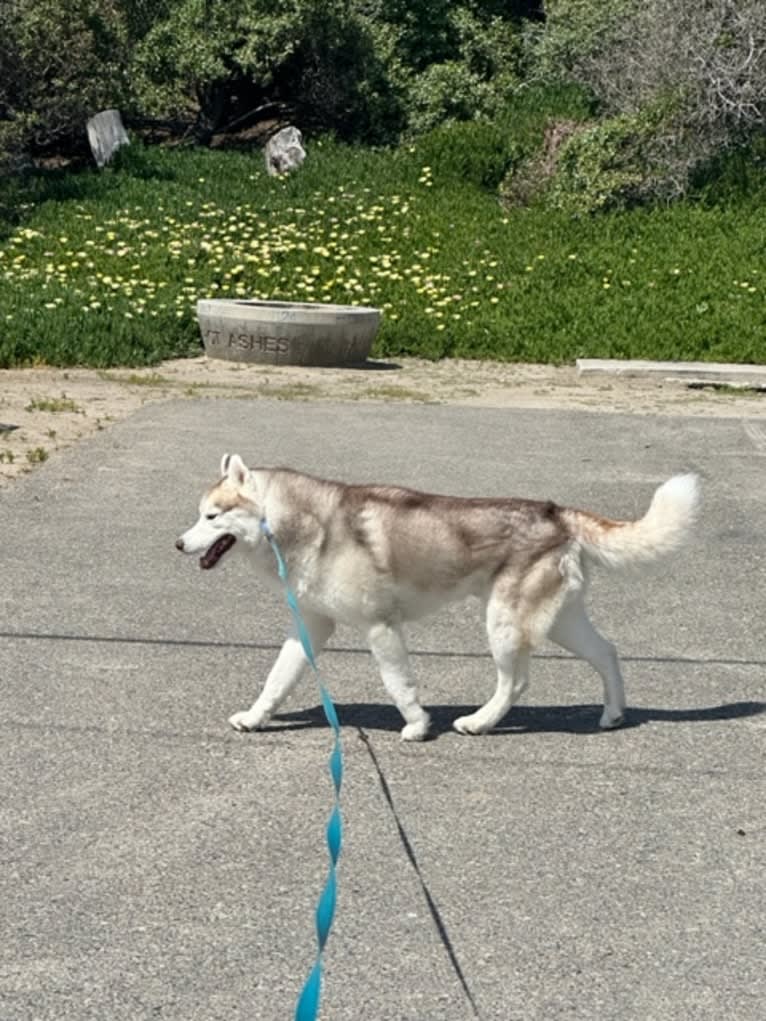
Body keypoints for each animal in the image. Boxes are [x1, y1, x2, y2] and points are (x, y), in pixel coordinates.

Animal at [175, 457, 702, 743]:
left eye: (211, 516)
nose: (179, 544)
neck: (308, 526)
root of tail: (558, 513)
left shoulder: (381, 627)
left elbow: (398, 684)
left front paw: (418, 725)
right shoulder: (311, 626)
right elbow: (276, 680)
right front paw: (255, 718)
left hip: (504, 623)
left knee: (515, 683)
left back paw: (480, 722)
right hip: (560, 622)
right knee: (607, 653)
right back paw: (612, 715)